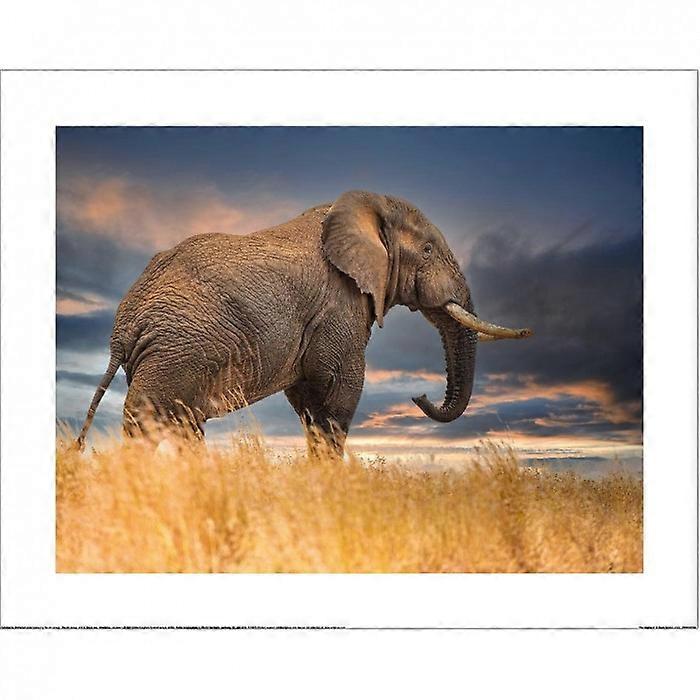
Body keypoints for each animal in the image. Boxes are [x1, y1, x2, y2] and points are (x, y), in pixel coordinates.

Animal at [76, 190, 532, 454]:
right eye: (428, 250)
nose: (419, 396)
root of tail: (123, 326)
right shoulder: (340, 302)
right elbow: (338, 387)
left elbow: (308, 398)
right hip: (179, 346)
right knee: (147, 419)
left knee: (183, 424)